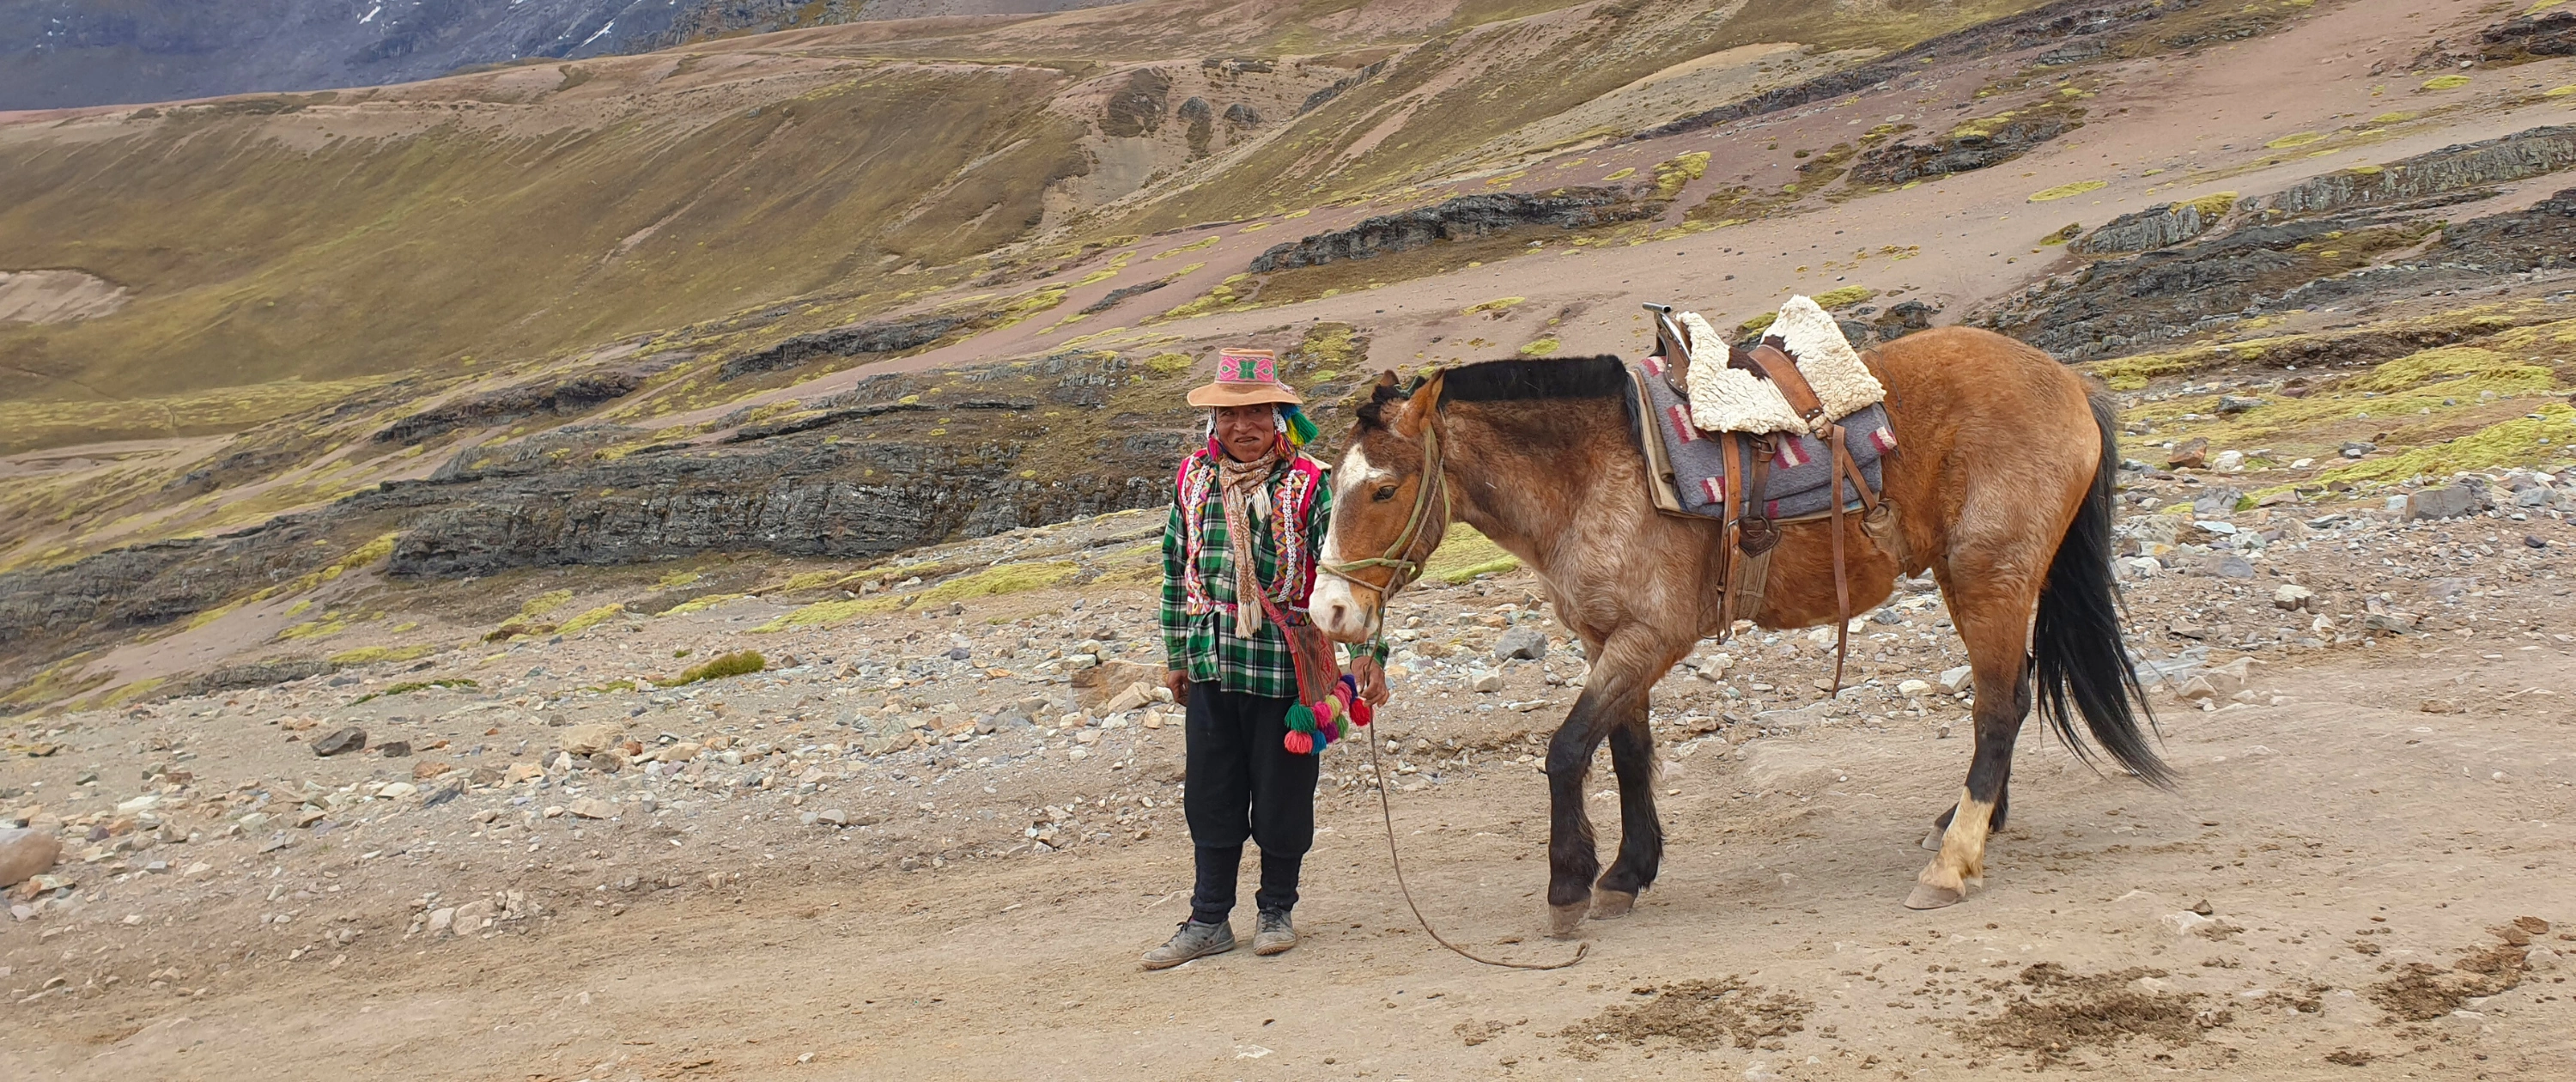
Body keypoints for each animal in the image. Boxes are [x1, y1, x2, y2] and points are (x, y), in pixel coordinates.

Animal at [1308, 326, 2167, 937]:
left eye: (1382, 489)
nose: (1329, 613)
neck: (1592, 473)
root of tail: (2071, 381)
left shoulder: (1649, 638)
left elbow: (1567, 750)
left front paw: (1567, 885)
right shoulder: (1607, 640)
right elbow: (1626, 754)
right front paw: (1625, 875)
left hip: (1991, 578)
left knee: (1995, 708)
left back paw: (1955, 863)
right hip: (1988, 584)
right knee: (2011, 696)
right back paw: (1972, 824)